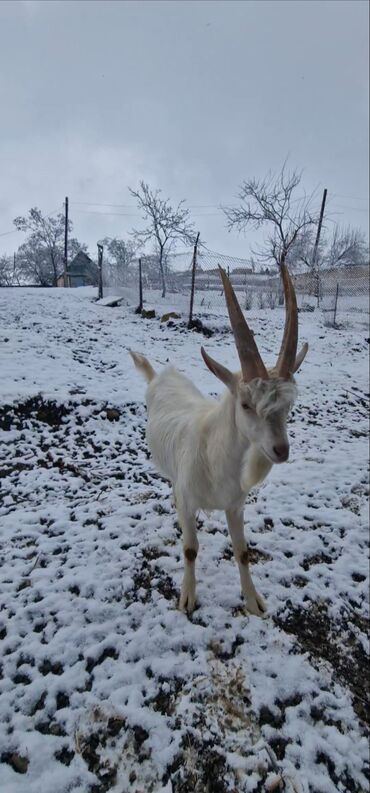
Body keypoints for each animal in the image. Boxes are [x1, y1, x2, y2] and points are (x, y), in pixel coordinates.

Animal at [130, 262, 306, 616]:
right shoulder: (188, 501)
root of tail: (159, 376)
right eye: (246, 404)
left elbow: (242, 551)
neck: (213, 456)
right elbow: (190, 549)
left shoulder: (235, 506)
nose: (280, 450)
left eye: (288, 406)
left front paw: (253, 601)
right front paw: (187, 598)